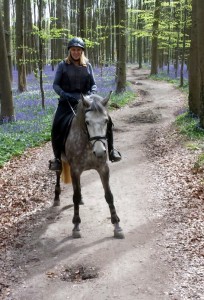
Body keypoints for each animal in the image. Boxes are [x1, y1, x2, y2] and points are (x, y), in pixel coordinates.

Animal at [52, 93, 123, 239]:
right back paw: (56, 198)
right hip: (61, 162)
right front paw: (76, 225)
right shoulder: (75, 170)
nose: (100, 152)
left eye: (106, 121)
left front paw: (116, 225)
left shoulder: (103, 169)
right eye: (87, 122)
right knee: (58, 174)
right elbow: (75, 196)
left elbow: (109, 195)